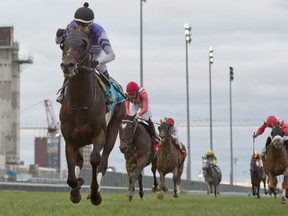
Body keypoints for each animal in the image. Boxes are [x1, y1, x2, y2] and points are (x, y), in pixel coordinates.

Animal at [59, 30, 125, 204]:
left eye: (84, 45)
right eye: (64, 44)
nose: (67, 65)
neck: (81, 102)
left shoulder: (99, 133)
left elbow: (95, 159)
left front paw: (95, 194)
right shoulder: (70, 139)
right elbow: (72, 167)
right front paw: (75, 190)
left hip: (114, 128)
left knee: (103, 161)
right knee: (80, 160)